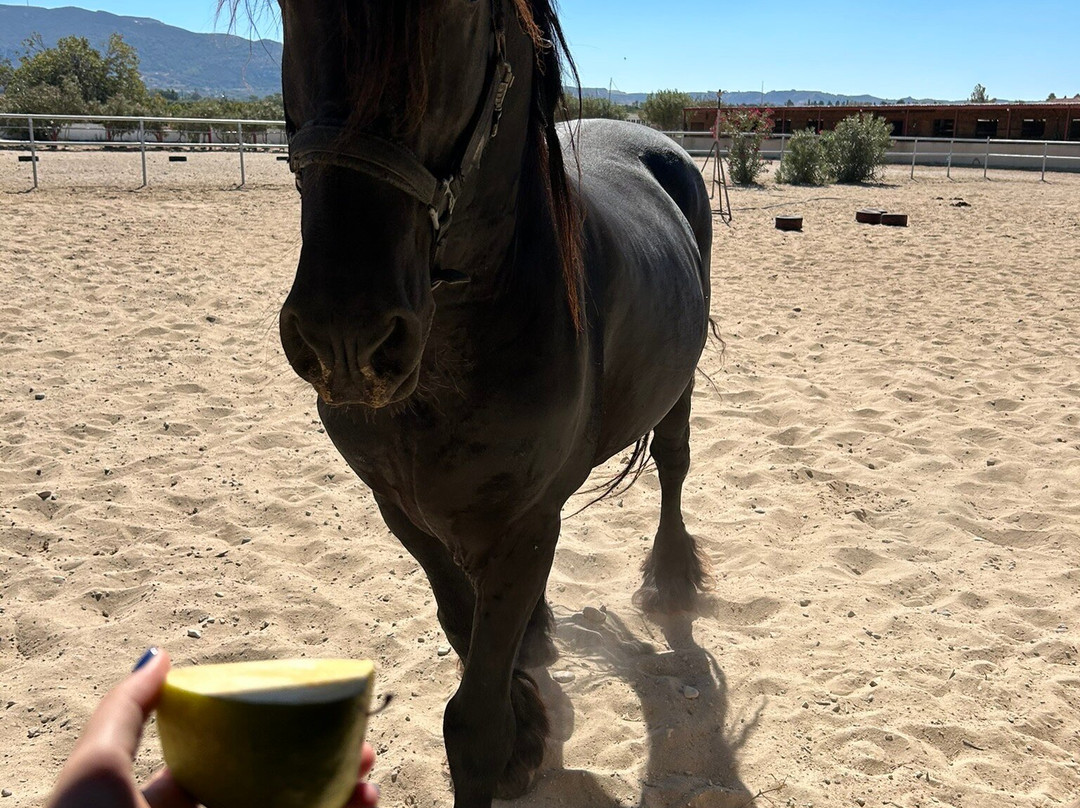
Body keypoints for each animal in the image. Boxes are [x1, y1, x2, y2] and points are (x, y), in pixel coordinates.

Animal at [253, 1, 713, 805]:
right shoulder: (402, 510)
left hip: (678, 385)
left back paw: (671, 578)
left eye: (460, 16)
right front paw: (527, 716)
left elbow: (473, 727)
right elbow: (458, 619)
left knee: (674, 461)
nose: (345, 336)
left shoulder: (524, 528)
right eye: (287, 11)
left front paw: (511, 734)